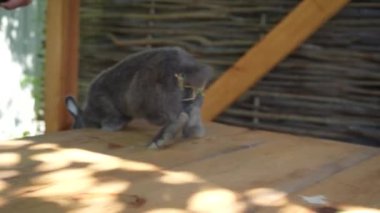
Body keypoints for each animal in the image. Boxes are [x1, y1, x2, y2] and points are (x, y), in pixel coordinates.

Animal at [64, 47, 211, 148]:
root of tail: (188, 68)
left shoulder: (108, 109)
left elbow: (112, 122)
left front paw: (106, 128)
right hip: (193, 99)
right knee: (192, 116)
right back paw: (193, 133)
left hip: (155, 104)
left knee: (179, 118)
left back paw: (160, 141)